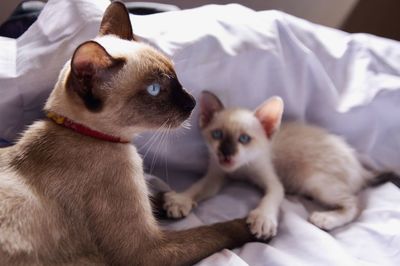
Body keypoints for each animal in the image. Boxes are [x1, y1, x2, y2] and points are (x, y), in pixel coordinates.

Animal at [0, 3, 255, 264]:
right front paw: (255, 225)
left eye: (176, 78)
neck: (85, 133)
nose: (192, 102)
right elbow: (218, 230)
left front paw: (174, 203)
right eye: (154, 89)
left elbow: (157, 196)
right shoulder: (148, 251)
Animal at [163, 91, 376, 239]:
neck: (241, 169)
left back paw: (326, 219)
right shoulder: (217, 174)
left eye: (244, 139)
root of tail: (360, 167)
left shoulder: (272, 181)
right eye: (217, 135)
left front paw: (263, 219)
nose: (225, 153)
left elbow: (271, 197)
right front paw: (181, 200)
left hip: (314, 180)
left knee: (354, 204)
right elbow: (198, 186)